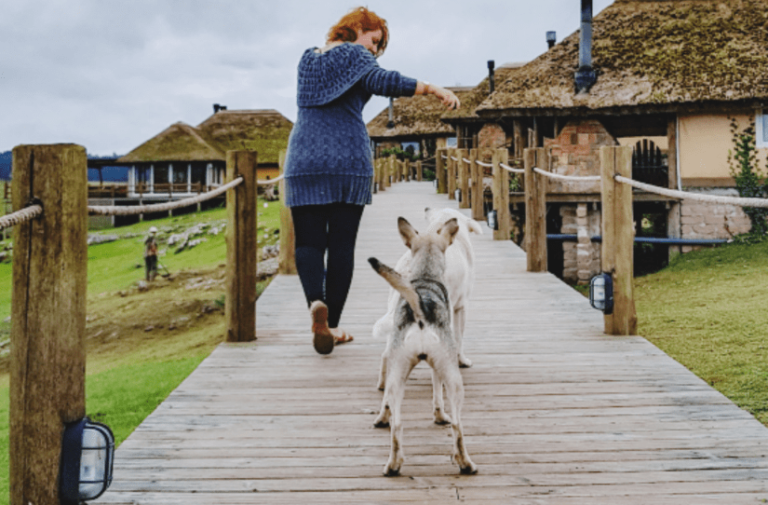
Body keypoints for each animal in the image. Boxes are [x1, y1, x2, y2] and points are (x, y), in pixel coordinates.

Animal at [368, 217, 476, 476]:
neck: (425, 276)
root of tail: (420, 306)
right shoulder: (441, 366)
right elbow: (438, 395)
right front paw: (440, 415)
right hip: (454, 378)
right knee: (457, 426)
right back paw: (466, 463)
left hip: (398, 374)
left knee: (397, 423)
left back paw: (393, 464)